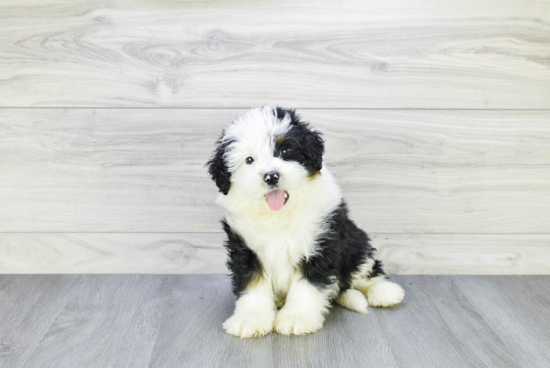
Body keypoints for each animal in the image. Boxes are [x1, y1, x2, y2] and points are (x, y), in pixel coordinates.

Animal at [207, 105, 406, 338]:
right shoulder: (244, 248)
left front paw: (296, 318)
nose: (271, 176)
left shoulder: (320, 243)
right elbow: (252, 286)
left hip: (356, 243)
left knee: (366, 271)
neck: (279, 215)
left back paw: (384, 292)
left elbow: (307, 286)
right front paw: (250, 320)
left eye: (285, 151)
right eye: (249, 160)